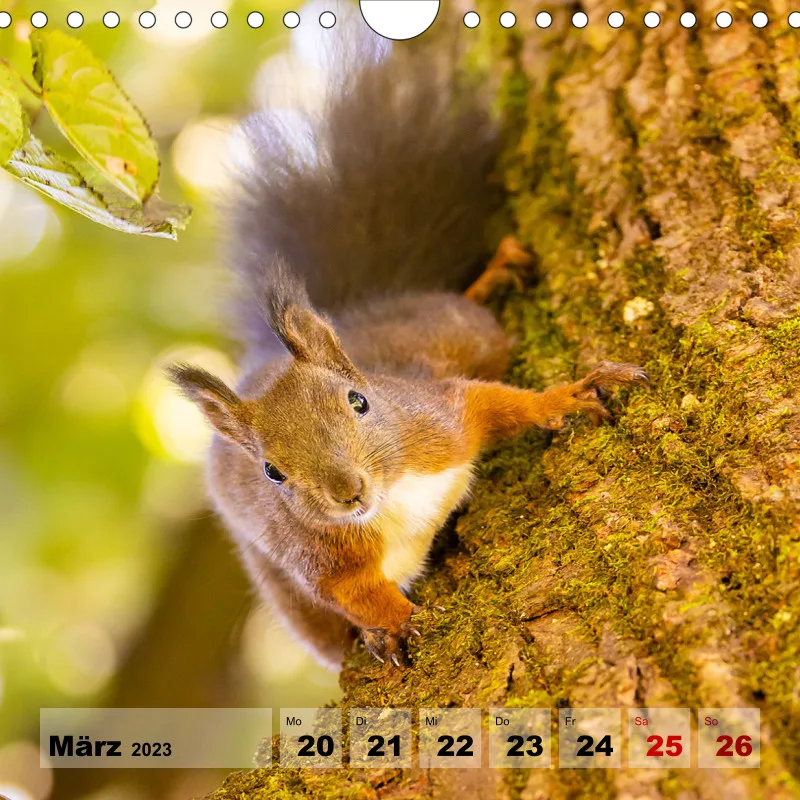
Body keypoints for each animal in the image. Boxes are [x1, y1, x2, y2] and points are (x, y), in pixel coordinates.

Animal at [168, 26, 648, 670]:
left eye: (360, 402)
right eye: (271, 472)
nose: (348, 495)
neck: (392, 495)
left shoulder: (437, 418)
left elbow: (496, 403)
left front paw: (567, 397)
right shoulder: (316, 556)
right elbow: (357, 594)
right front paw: (393, 625)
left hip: (454, 330)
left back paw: (493, 276)